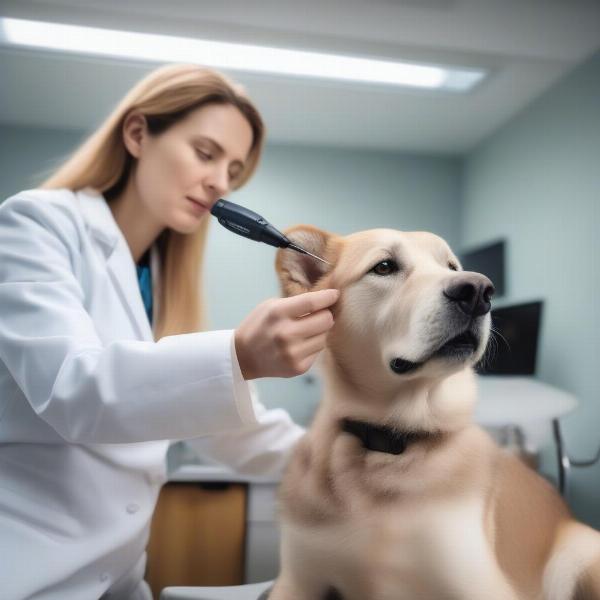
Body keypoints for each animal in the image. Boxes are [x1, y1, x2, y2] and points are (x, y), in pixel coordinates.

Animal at [268, 226, 600, 600]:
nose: (479, 291)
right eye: (384, 266)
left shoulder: (483, 585)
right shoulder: (296, 581)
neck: (390, 443)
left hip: (584, 554)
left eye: (452, 267)